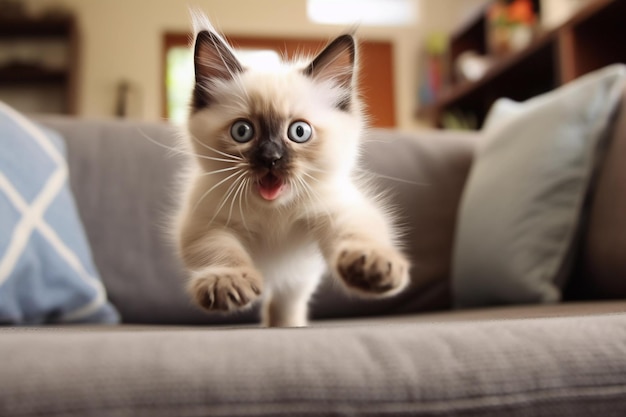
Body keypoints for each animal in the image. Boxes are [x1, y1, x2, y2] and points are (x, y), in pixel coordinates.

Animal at [174, 16, 410, 326]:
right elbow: (221, 253)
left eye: (299, 132)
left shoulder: (337, 210)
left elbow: (358, 234)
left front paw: (370, 267)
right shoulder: (207, 224)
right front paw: (227, 282)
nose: (271, 158)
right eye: (242, 131)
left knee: (286, 304)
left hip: (299, 277)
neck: (273, 212)